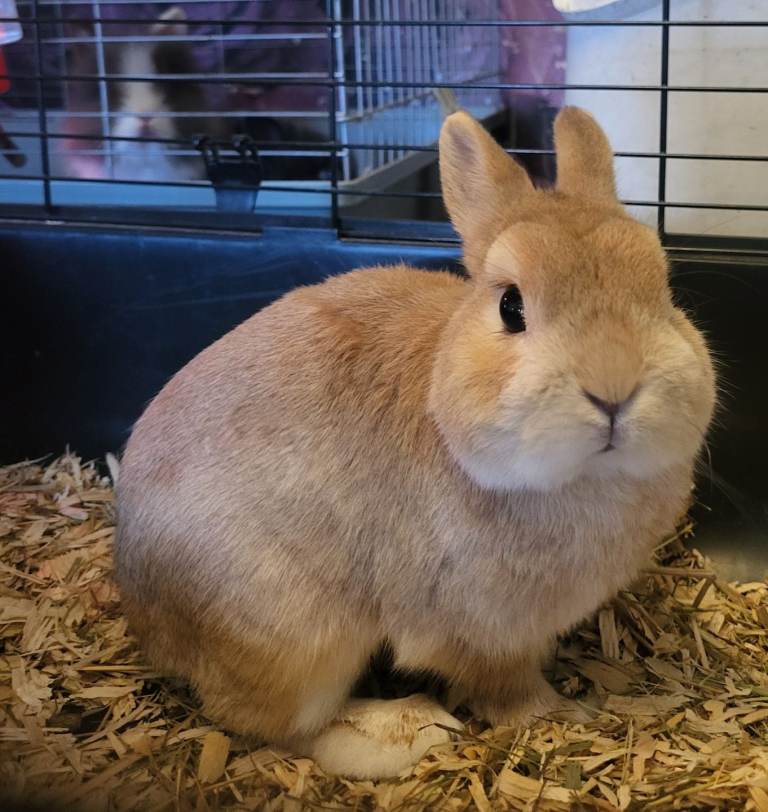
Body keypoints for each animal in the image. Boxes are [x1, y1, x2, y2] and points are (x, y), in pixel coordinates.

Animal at [114, 107, 716, 779]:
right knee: (278, 725)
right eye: (511, 306)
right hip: (292, 635)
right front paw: (559, 714)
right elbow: (506, 687)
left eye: (662, 291)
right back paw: (405, 728)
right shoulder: (480, 631)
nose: (613, 387)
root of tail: (145, 616)